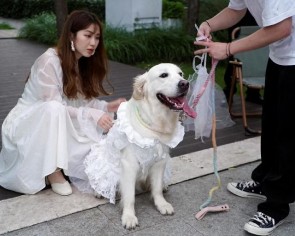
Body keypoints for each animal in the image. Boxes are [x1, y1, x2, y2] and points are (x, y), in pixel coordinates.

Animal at [84, 62, 197, 229]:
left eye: (180, 74)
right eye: (163, 75)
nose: (185, 84)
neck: (154, 124)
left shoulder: (160, 161)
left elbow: (157, 189)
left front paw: (161, 204)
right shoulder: (129, 165)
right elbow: (130, 197)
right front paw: (129, 216)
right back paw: (99, 191)